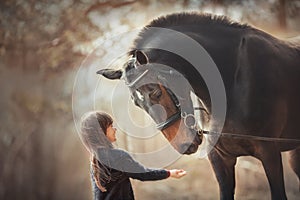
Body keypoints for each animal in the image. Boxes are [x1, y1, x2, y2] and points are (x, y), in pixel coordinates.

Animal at [96, 11, 300, 199]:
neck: (233, 77)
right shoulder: (219, 158)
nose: (183, 145)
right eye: (136, 103)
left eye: (155, 92)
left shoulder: (269, 153)